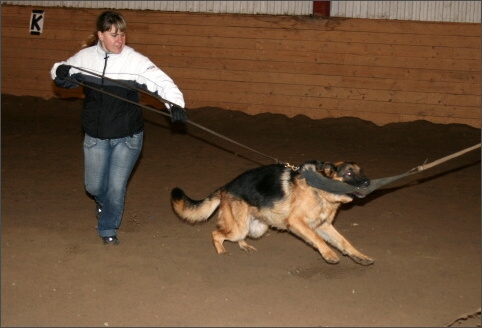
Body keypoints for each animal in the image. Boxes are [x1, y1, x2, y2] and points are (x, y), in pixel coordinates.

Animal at [171, 160, 374, 266]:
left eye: (361, 172)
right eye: (349, 173)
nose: (368, 183)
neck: (320, 189)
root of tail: (225, 186)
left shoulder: (323, 225)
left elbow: (344, 242)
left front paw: (359, 256)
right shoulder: (297, 222)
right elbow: (317, 239)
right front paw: (329, 254)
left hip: (253, 227)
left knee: (237, 237)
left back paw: (244, 246)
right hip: (239, 227)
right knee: (216, 234)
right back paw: (221, 253)